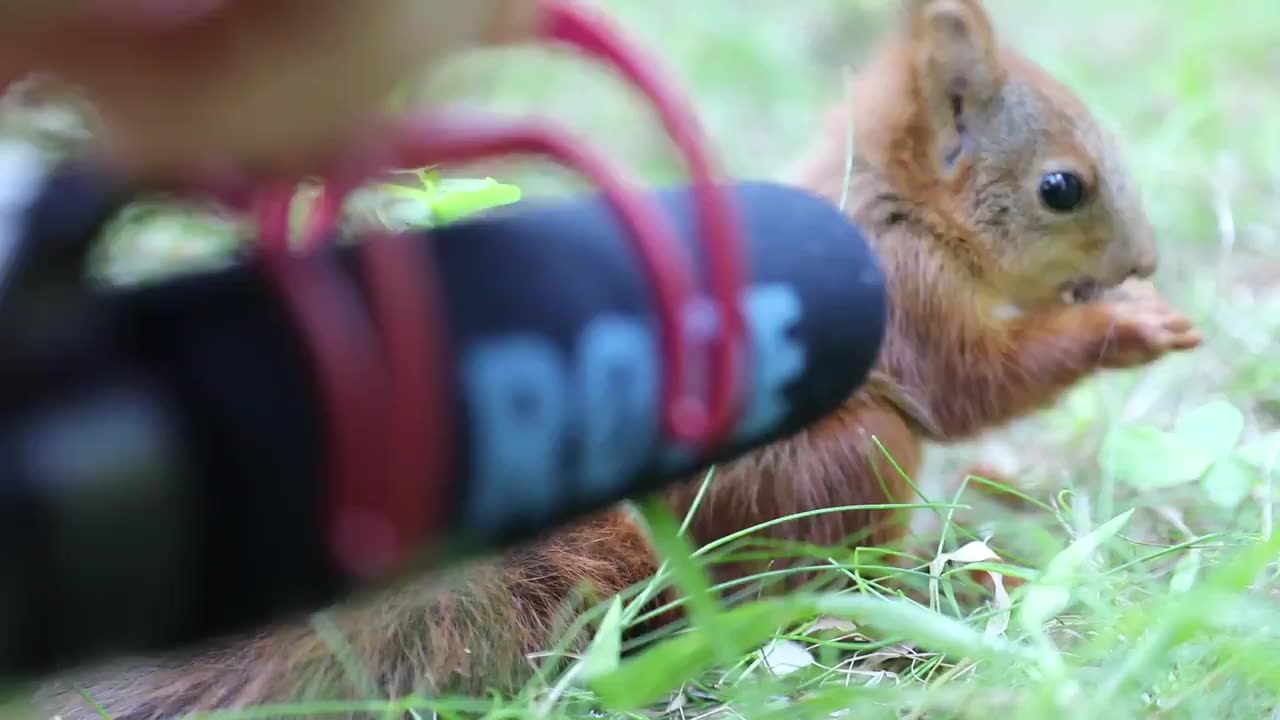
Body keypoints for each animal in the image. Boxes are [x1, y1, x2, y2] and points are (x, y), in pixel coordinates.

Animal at [37, 2, 1198, 712]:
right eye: (1061, 188)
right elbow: (971, 388)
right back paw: (910, 589)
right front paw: (1133, 328)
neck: (897, 210)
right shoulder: (901, 303)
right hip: (851, 452)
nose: (1146, 260)